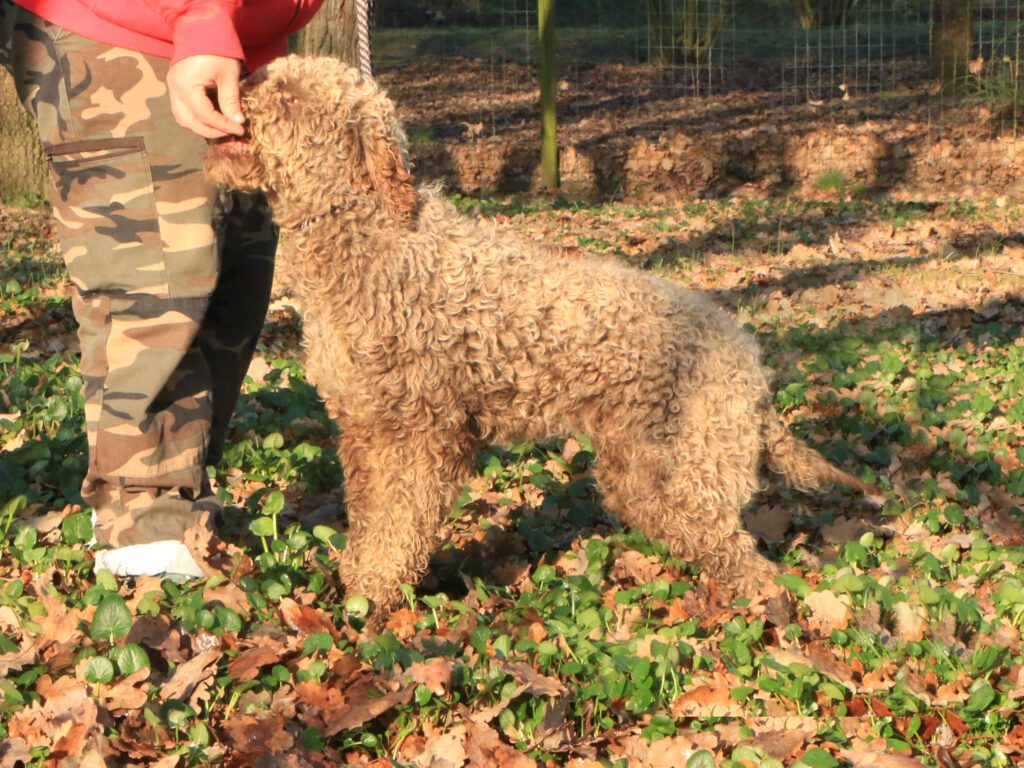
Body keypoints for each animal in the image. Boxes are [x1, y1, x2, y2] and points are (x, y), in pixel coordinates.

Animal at [205, 55, 872, 618]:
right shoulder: (365, 432)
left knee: (743, 559)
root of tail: (750, 364)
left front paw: (371, 602)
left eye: (288, 94)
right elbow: (372, 522)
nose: (228, 84)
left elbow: (397, 528)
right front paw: (359, 586)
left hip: (684, 464)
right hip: (643, 472)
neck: (373, 241)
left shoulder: (418, 433)